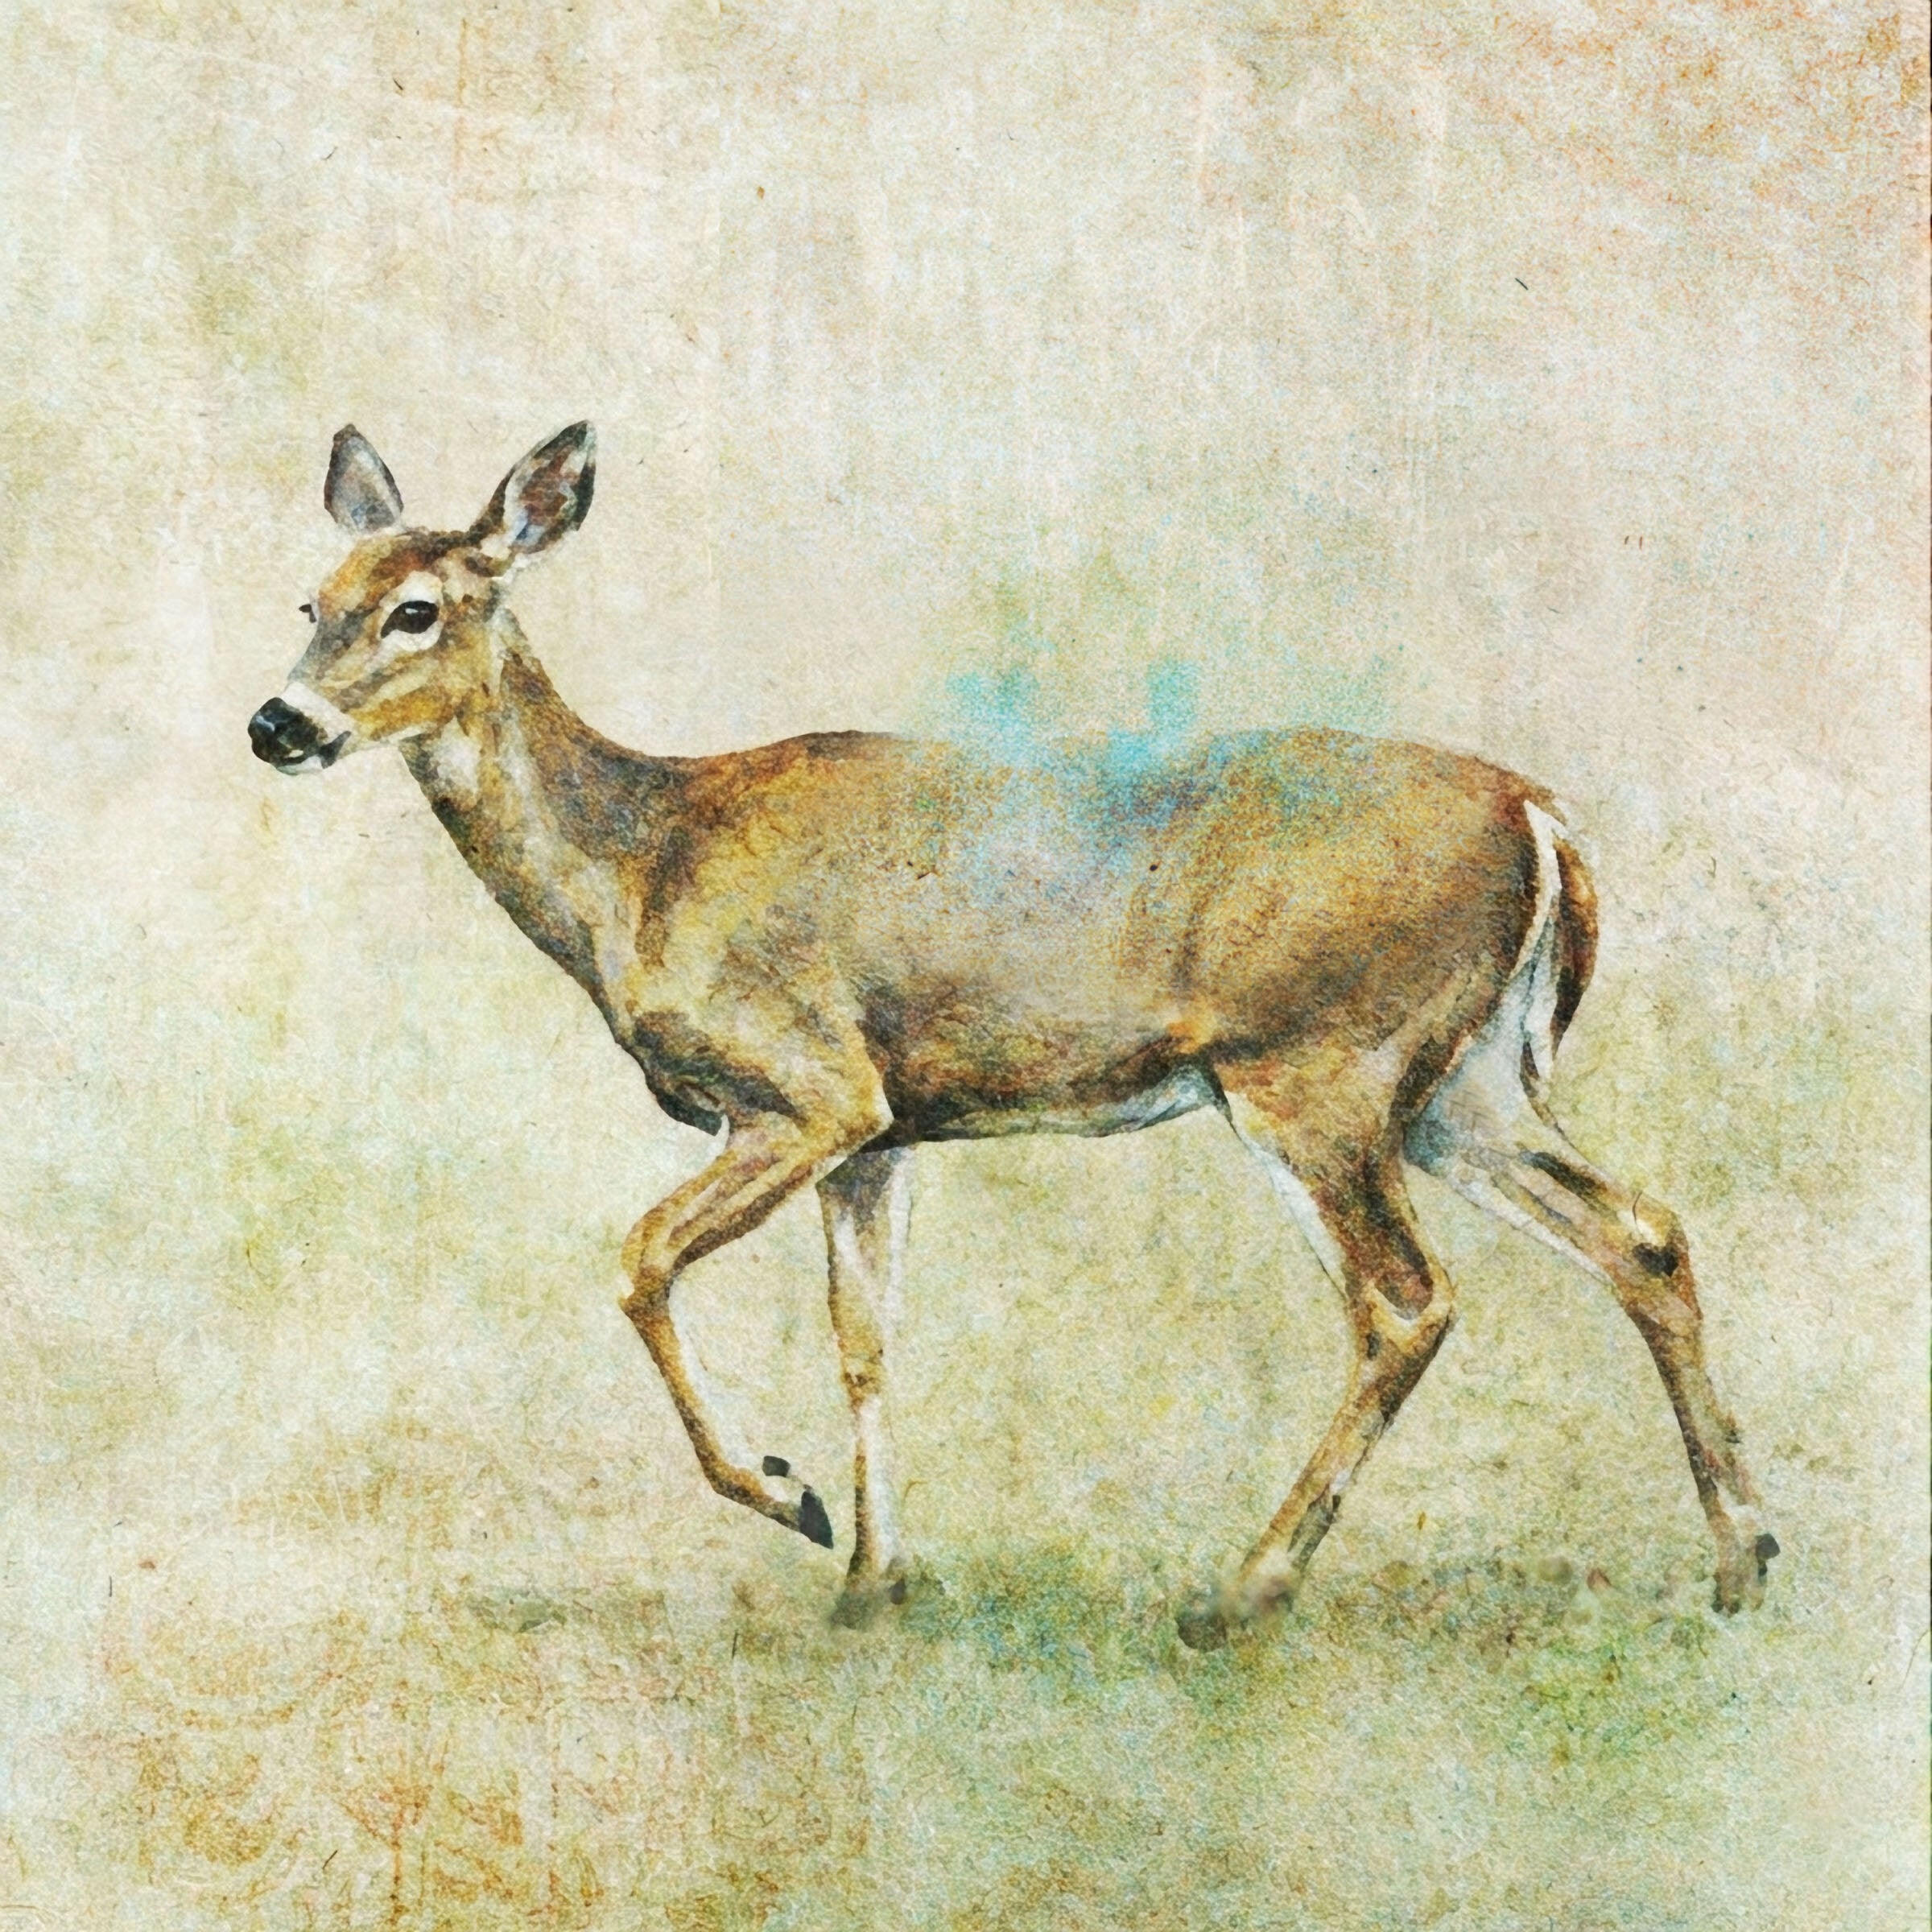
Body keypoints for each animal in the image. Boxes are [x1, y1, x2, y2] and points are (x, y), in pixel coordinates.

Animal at [248, 423, 1778, 1646]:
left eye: (418, 610)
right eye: (313, 599)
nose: (276, 722)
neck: (642, 864)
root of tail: (1543, 820)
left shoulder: (812, 1087)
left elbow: (640, 1259)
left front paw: (790, 1500)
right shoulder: (880, 1133)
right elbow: (866, 1339)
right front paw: (872, 1581)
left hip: (1320, 1066)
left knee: (1408, 1300)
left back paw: (1241, 1592)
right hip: (1464, 1084)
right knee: (1642, 1235)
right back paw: (1744, 1561)